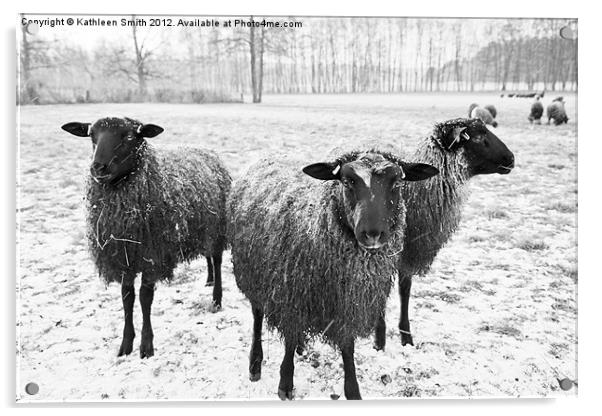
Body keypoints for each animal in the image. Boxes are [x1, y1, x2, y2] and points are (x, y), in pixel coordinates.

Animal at [61, 117, 230, 358]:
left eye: (130, 136)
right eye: (92, 135)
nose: (98, 167)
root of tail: (208, 151)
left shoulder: (152, 257)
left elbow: (144, 298)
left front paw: (146, 346)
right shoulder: (124, 258)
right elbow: (127, 297)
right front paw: (125, 344)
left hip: (217, 229)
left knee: (216, 259)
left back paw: (216, 299)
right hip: (202, 228)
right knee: (207, 256)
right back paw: (209, 280)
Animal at [226, 150, 436, 400]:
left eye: (397, 182)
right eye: (347, 181)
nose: (372, 234)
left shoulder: (347, 304)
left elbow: (347, 347)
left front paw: (353, 390)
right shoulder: (291, 298)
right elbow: (288, 340)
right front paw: (285, 383)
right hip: (253, 274)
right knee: (258, 316)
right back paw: (255, 364)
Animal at [372, 118, 512, 350]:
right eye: (477, 136)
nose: (511, 159)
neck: (413, 192)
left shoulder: (410, 253)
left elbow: (405, 291)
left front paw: (406, 337)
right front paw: (379, 341)